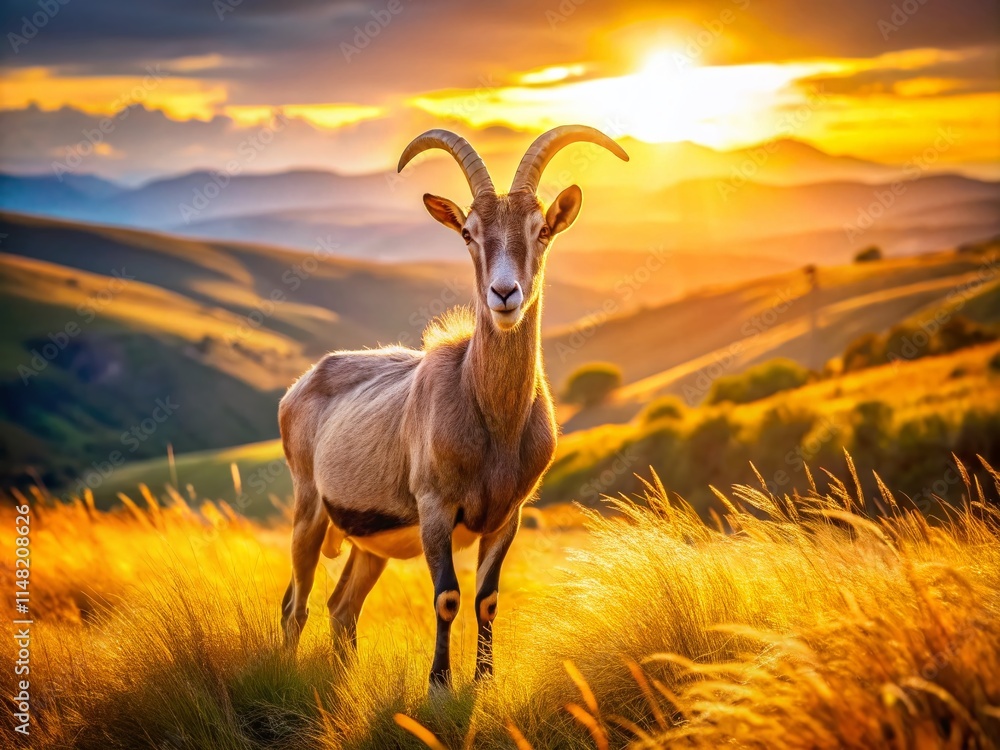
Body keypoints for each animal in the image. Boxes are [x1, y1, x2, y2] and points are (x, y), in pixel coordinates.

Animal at [278, 125, 628, 687]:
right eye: (468, 232)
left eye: (541, 230)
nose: (504, 294)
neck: (494, 423)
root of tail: (299, 388)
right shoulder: (435, 510)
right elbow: (447, 597)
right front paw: (439, 684)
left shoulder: (508, 517)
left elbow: (487, 600)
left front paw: (484, 679)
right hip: (308, 511)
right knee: (296, 604)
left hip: (368, 544)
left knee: (341, 606)